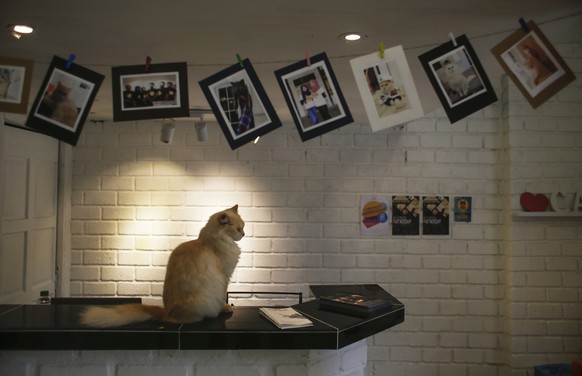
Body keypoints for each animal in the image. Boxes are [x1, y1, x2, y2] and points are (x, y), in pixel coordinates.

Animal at [80, 204, 244, 328]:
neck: (209, 241)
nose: (243, 234)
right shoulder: (225, 276)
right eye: (238, 229)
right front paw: (226, 308)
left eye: (243, 227)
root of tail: (166, 312)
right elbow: (223, 297)